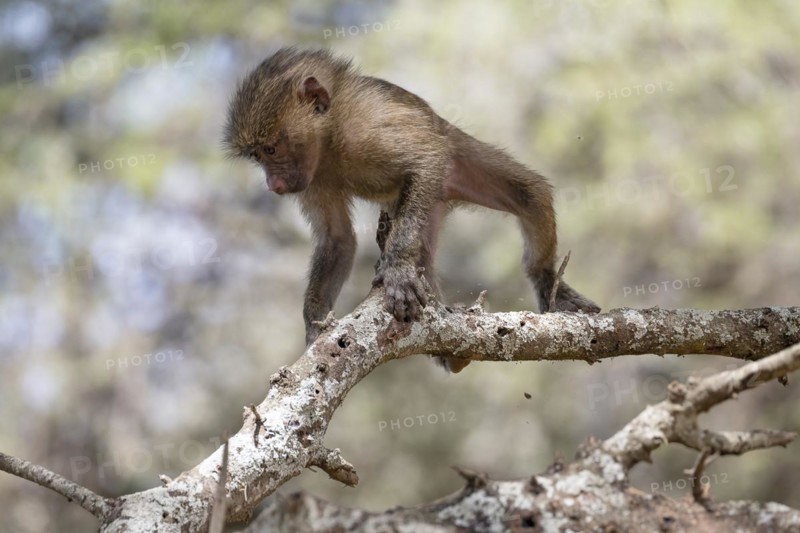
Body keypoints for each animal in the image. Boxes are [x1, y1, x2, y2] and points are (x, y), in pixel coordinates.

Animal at [223, 47, 600, 372]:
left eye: (271, 150)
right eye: (258, 156)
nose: (273, 186)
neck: (330, 134)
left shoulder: (365, 131)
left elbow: (424, 161)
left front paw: (399, 272)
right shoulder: (314, 176)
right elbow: (338, 240)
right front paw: (316, 328)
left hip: (452, 163)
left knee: (530, 195)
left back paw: (546, 279)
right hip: (432, 205)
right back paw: (452, 350)